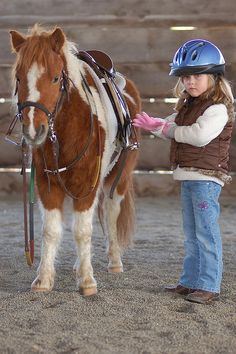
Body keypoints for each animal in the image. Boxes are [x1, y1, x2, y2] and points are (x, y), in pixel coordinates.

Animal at [10, 25, 141, 296]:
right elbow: (51, 231)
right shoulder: (47, 185)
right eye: (18, 78)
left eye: (55, 78)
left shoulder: (86, 185)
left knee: (111, 213)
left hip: (120, 177)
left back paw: (114, 261)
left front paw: (87, 281)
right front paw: (43, 279)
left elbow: (83, 231)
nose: (33, 130)